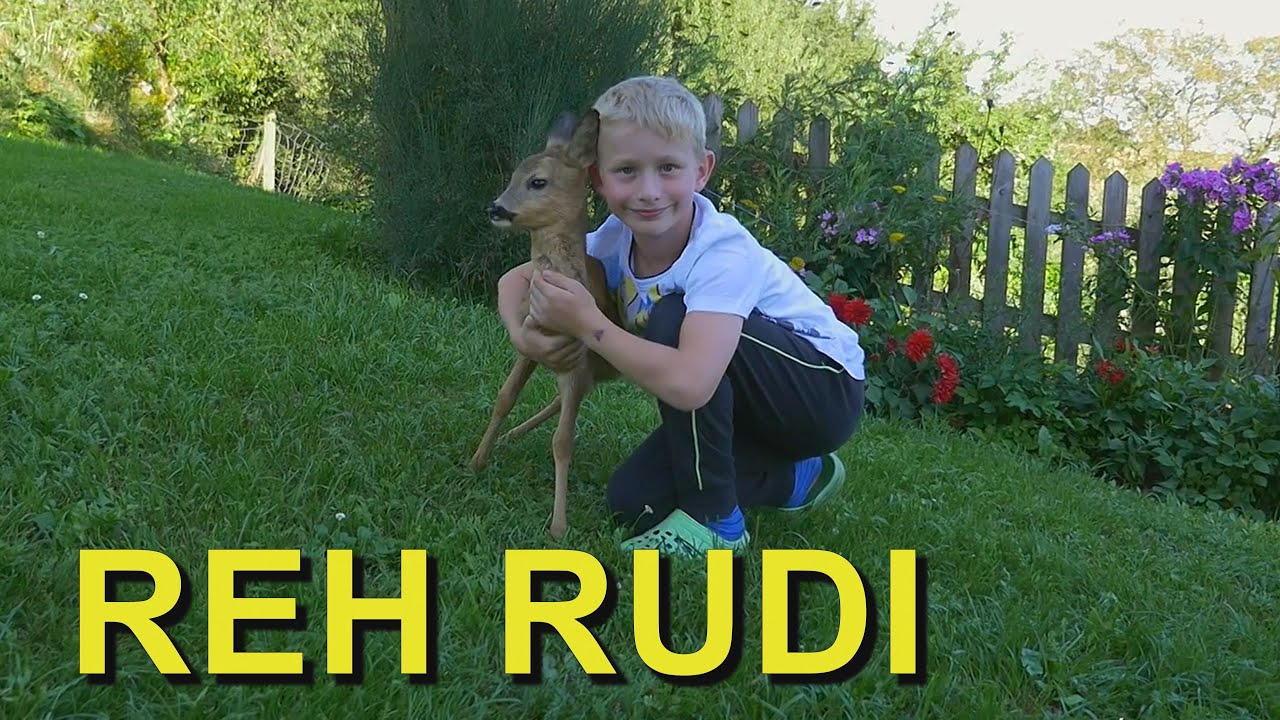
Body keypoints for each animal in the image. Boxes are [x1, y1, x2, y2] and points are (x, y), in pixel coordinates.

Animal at [468, 108, 620, 539]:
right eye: (512, 175)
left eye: (537, 181)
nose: (495, 208)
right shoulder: (530, 343)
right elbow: (505, 397)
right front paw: (477, 460)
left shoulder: (577, 362)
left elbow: (564, 440)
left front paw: (558, 526)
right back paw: (510, 437)